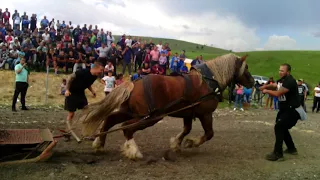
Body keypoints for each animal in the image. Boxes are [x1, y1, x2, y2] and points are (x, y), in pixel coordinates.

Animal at [80, 52, 255, 160]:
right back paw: (133, 151)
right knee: (126, 128)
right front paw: (191, 143)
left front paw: (176, 144)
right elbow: (209, 134)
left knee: (110, 120)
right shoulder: (205, 114)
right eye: (246, 68)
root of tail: (134, 83)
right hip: (150, 117)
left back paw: (99, 145)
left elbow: (186, 129)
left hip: (131, 112)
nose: (253, 82)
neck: (209, 81)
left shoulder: (188, 113)